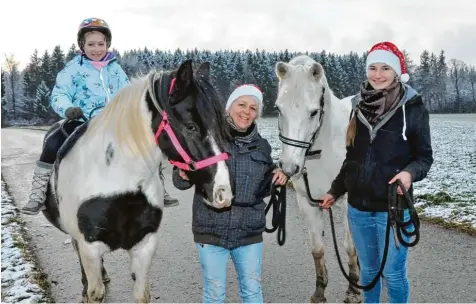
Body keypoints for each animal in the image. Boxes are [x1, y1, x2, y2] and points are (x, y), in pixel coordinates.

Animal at [41, 60, 234, 302]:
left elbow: (142, 294)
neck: (117, 186)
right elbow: (95, 292)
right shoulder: (89, 247)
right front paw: (87, 290)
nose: (223, 192)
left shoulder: (145, 245)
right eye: (191, 126)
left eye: (221, 126)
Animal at [276, 54, 360, 302]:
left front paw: (353, 290)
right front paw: (319, 292)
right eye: (278, 109)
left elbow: (350, 247)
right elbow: (318, 249)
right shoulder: (308, 203)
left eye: (313, 112)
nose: (289, 167)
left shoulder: (350, 202)